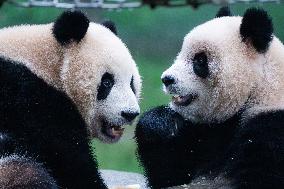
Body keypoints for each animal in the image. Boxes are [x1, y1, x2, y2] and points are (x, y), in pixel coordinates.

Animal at [135, 6, 284, 188]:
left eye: (199, 60)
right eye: (181, 53)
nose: (167, 79)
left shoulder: (271, 124)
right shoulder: (208, 131)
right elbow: (172, 173)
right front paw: (160, 123)